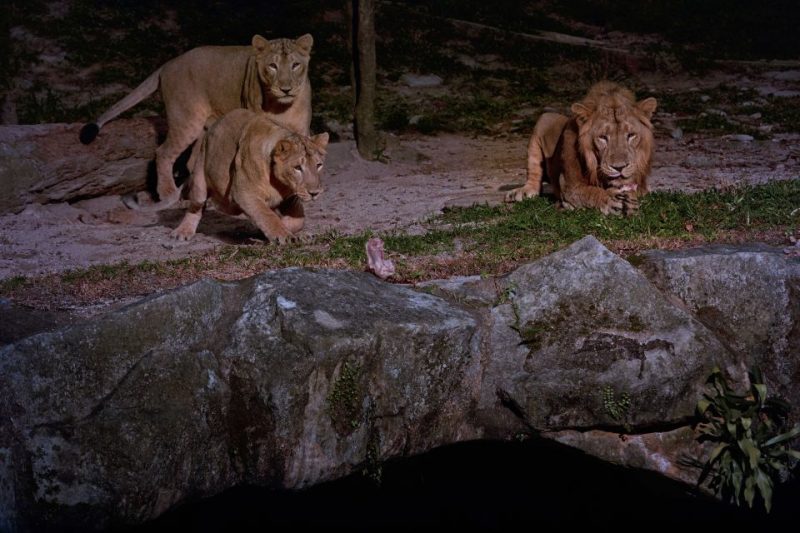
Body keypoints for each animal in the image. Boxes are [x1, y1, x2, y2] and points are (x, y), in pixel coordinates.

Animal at [79, 34, 314, 208]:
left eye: (295, 65)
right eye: (272, 66)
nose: (286, 88)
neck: (281, 106)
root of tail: (169, 63)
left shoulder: (300, 132)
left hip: (203, 128)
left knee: (192, 162)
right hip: (186, 122)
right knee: (163, 153)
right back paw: (168, 195)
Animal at [171, 109, 328, 243]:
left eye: (319, 165)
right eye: (297, 168)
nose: (315, 193)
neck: (280, 183)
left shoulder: (290, 198)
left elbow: (297, 220)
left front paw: (290, 232)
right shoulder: (245, 194)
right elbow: (267, 216)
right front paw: (284, 235)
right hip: (199, 179)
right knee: (195, 207)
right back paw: (182, 232)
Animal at [505, 81, 657, 215]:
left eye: (631, 135)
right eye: (603, 137)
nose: (619, 168)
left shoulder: (641, 186)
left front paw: (629, 201)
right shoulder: (569, 186)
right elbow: (589, 192)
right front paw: (610, 199)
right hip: (545, 118)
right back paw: (521, 192)